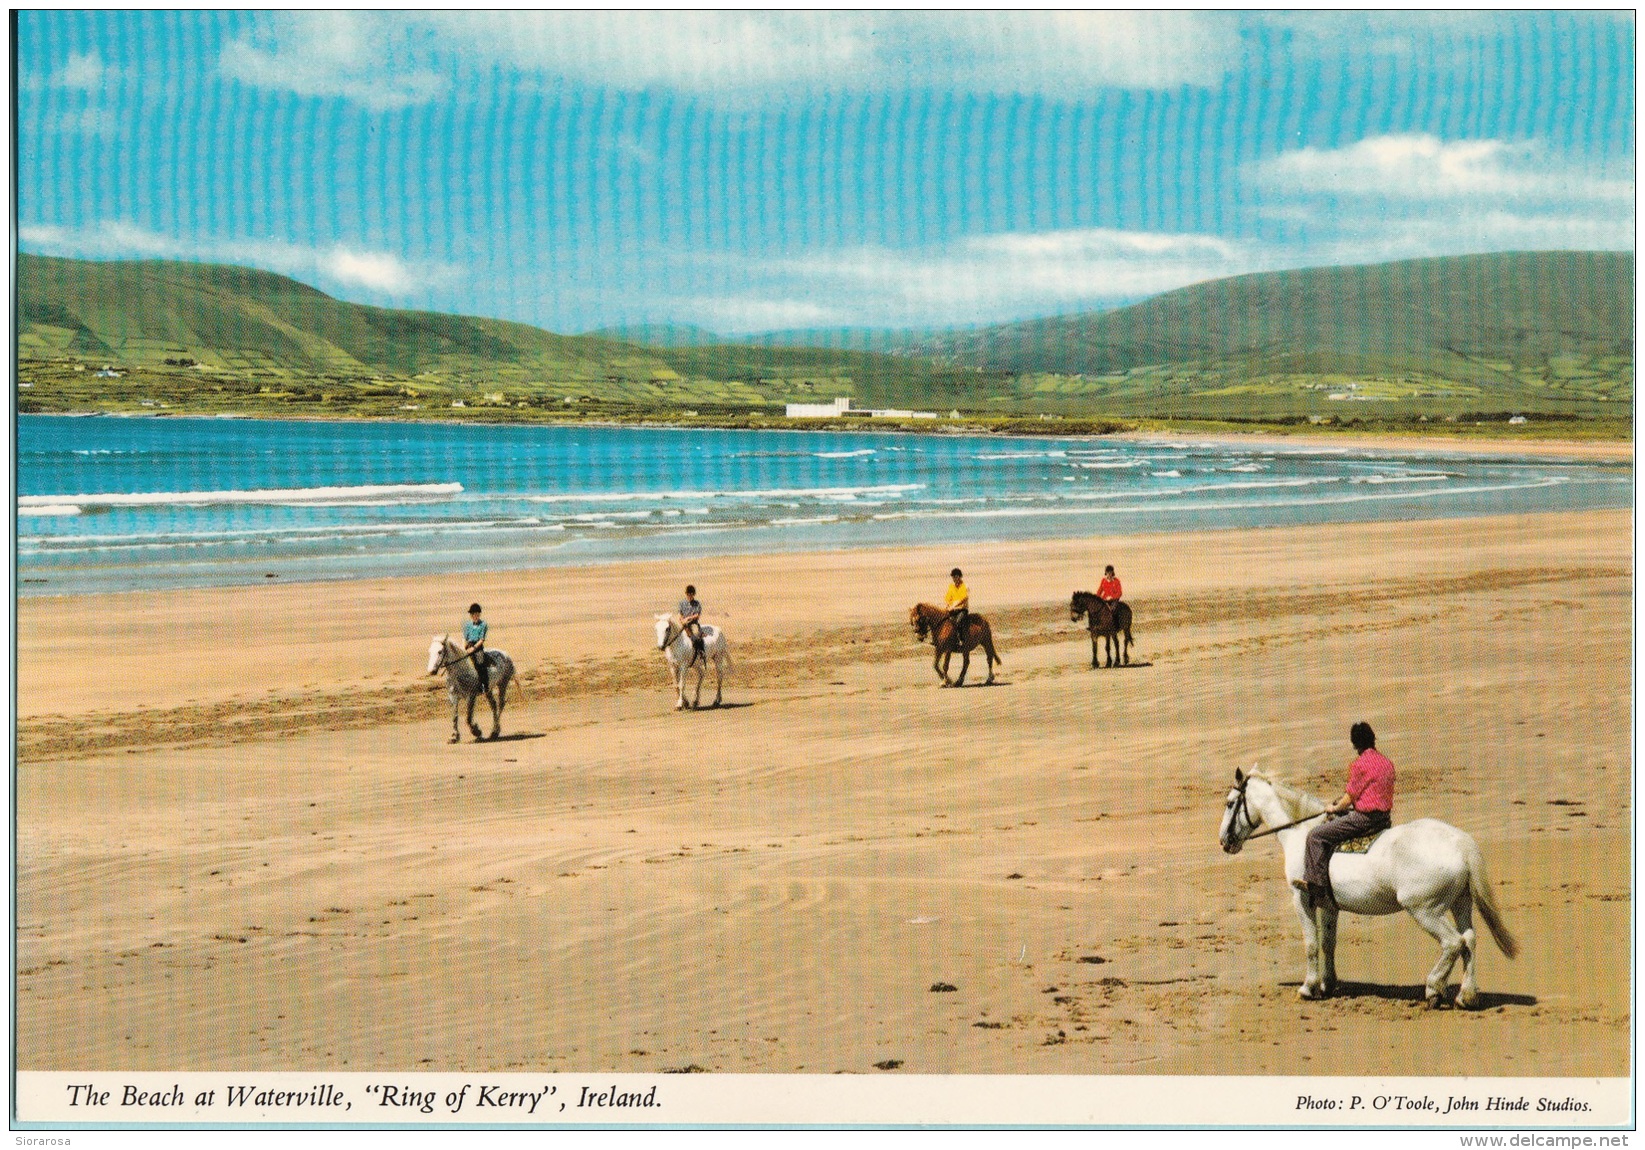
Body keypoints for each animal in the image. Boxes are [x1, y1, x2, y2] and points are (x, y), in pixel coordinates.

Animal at [1217, 769, 1519, 1013]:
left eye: (1230, 803)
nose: (1224, 842)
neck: (1301, 834)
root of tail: (1461, 843)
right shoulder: (1329, 905)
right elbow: (1328, 943)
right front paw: (1328, 985)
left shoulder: (1302, 899)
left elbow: (1311, 943)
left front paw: (1308, 987)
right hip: (1460, 903)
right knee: (1469, 939)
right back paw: (1466, 997)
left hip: (1425, 910)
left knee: (1453, 943)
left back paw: (1434, 990)